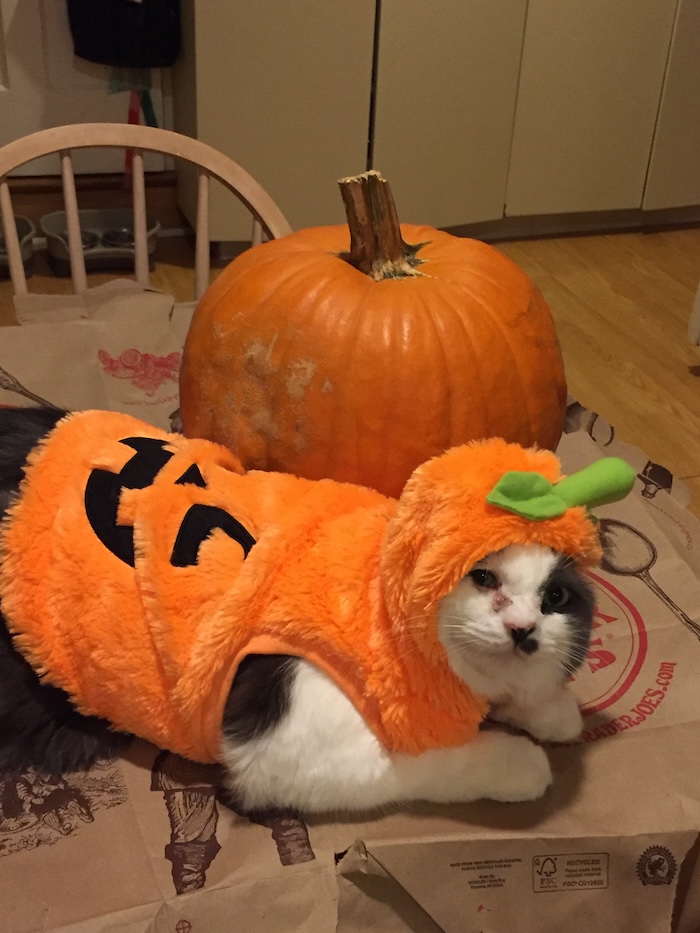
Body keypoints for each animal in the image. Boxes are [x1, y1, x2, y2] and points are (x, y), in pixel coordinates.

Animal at [0, 406, 592, 808]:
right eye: (483, 578)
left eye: (555, 597)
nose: (523, 628)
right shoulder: (284, 752)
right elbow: (437, 763)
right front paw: (518, 761)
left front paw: (551, 708)